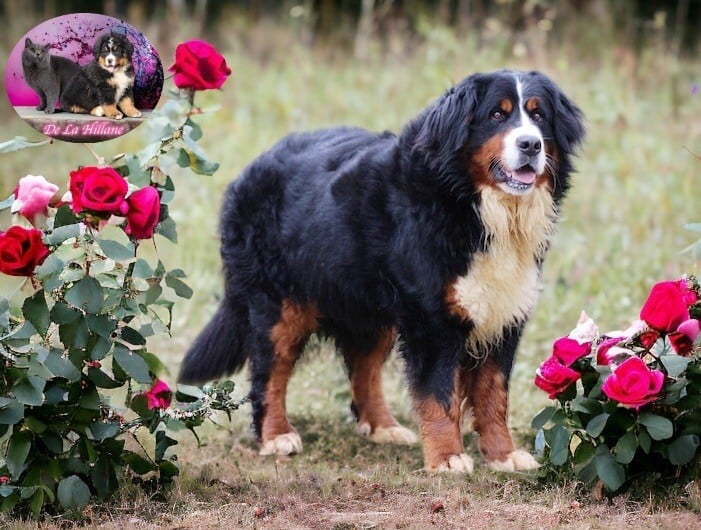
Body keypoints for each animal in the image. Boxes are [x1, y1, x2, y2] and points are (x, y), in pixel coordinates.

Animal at [178, 69, 584, 470]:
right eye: (497, 115)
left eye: (538, 115)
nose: (530, 145)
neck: (474, 205)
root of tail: (249, 168)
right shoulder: (432, 320)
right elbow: (439, 394)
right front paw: (448, 458)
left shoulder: (504, 313)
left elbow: (493, 393)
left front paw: (503, 454)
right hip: (278, 303)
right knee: (269, 372)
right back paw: (276, 435)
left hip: (367, 306)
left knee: (364, 369)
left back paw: (382, 426)